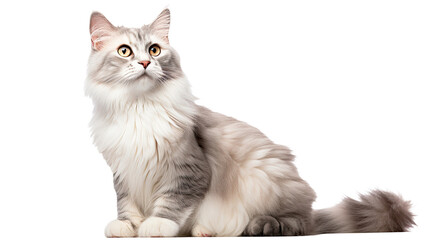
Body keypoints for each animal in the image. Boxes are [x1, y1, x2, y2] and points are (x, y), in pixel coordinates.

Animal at [84, 8, 414, 236]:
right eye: (125, 51)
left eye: (154, 49)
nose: (144, 63)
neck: (138, 107)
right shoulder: (123, 171)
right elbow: (126, 204)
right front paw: (127, 226)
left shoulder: (189, 169)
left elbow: (172, 202)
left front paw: (156, 226)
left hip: (264, 177)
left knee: (296, 223)